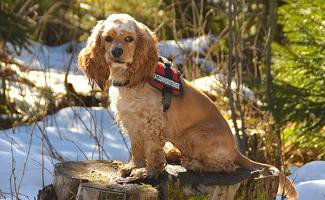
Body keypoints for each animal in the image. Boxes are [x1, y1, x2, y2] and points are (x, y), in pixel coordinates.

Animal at [78, 13, 296, 199]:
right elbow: (137, 147)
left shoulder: (152, 123)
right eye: (108, 38)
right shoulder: (131, 121)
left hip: (194, 135)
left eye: (129, 38)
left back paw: (191, 163)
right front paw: (133, 166)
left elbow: (152, 152)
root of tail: (236, 149)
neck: (131, 79)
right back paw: (173, 154)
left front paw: (146, 171)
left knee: (226, 166)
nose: (116, 51)